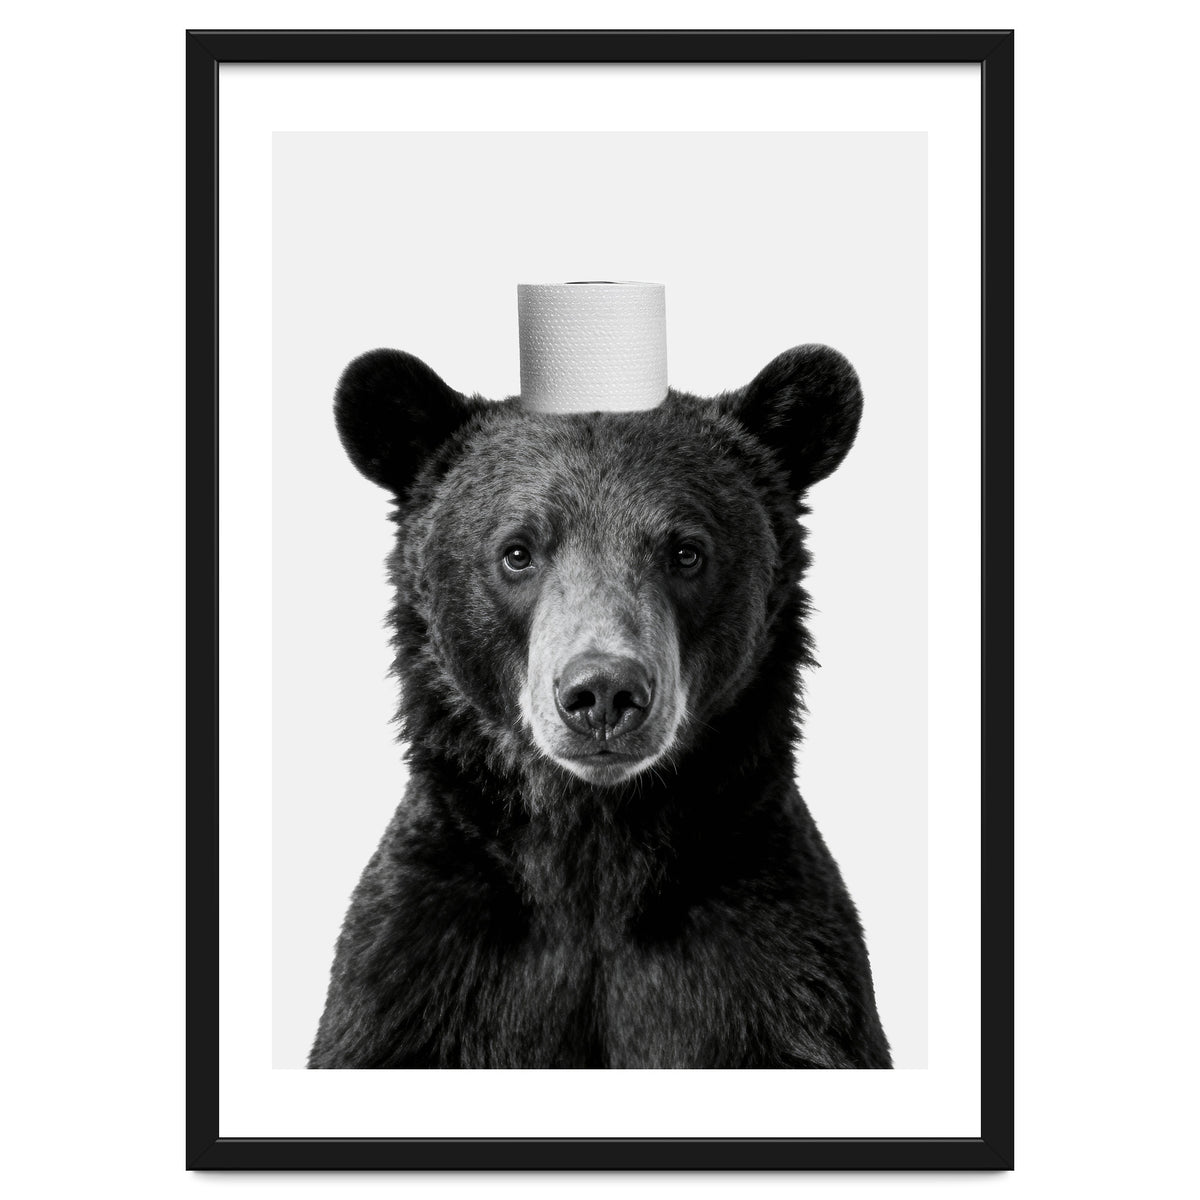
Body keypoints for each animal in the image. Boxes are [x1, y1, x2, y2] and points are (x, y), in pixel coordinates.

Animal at [308, 343, 892, 1069]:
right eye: (517, 552)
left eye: (686, 551)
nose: (604, 693)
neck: (595, 844)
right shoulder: (419, 968)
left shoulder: (777, 967)